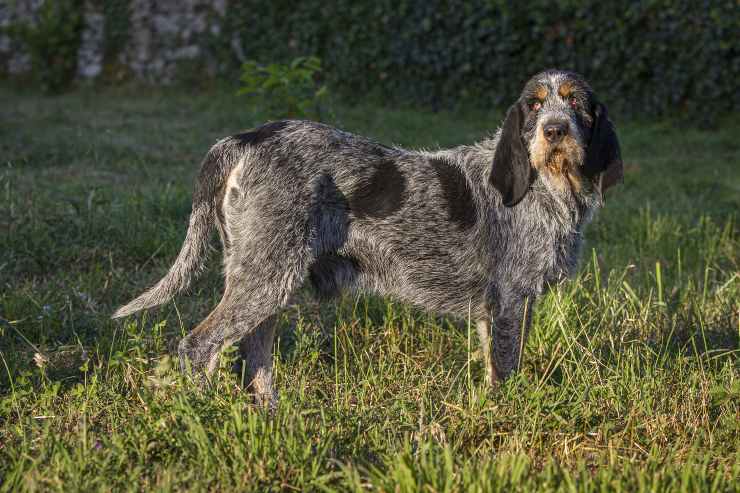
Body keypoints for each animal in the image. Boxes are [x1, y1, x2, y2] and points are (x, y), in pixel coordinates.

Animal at [112, 70, 624, 408]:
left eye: (576, 103)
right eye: (535, 105)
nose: (554, 131)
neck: (548, 185)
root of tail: (246, 138)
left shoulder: (497, 308)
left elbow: (490, 364)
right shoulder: (511, 300)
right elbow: (505, 367)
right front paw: (506, 416)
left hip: (264, 277)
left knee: (253, 354)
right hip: (266, 278)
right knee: (199, 347)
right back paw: (202, 415)